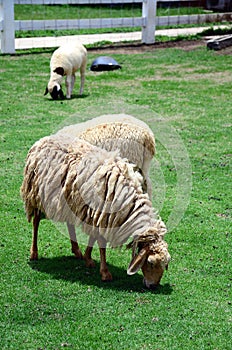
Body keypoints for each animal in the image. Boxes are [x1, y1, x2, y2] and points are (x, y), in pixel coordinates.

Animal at [20, 135, 169, 288]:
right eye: (151, 262)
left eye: (166, 265)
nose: (153, 286)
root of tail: (44, 139)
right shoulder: (102, 214)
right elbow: (101, 243)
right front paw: (105, 272)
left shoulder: (98, 215)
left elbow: (93, 237)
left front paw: (88, 257)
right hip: (36, 195)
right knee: (36, 222)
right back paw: (34, 253)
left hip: (68, 200)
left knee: (69, 223)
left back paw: (76, 250)